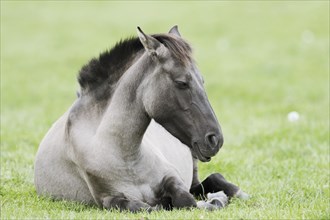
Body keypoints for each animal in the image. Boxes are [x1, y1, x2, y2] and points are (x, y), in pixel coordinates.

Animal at [34, 25, 248, 211]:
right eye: (181, 82)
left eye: (202, 80)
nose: (215, 139)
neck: (124, 157)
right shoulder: (109, 199)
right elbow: (146, 207)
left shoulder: (172, 178)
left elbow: (186, 200)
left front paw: (215, 199)